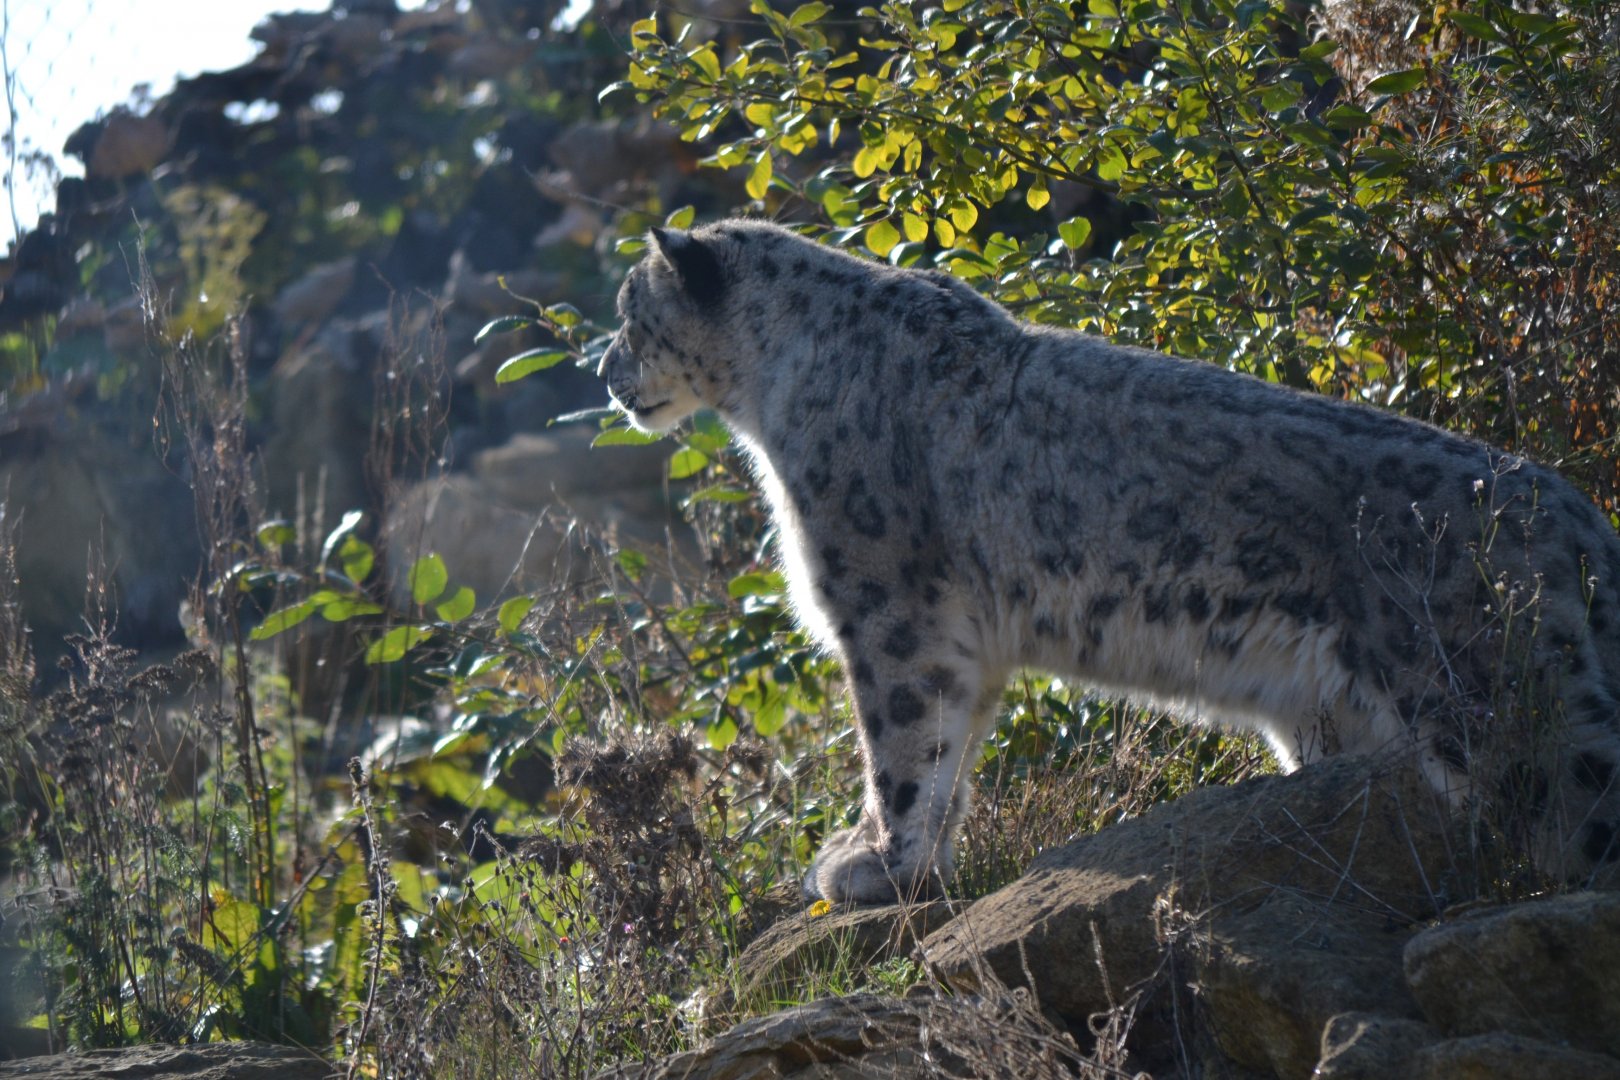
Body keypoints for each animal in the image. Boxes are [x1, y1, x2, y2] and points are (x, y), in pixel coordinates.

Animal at [596, 217, 1620, 904]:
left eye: (632, 315)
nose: (604, 376)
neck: (769, 401)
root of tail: (1574, 506)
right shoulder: (958, 644)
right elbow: (951, 756)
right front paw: (898, 855)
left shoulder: (889, 609)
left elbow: (900, 741)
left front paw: (876, 863)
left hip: (1487, 688)